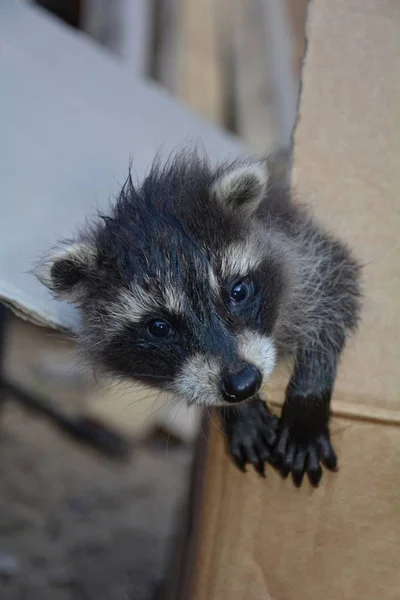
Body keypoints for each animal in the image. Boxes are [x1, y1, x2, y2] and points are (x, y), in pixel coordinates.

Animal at [37, 151, 362, 488]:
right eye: (159, 327)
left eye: (238, 291)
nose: (244, 384)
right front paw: (240, 413)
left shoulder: (307, 249)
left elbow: (334, 297)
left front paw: (307, 399)